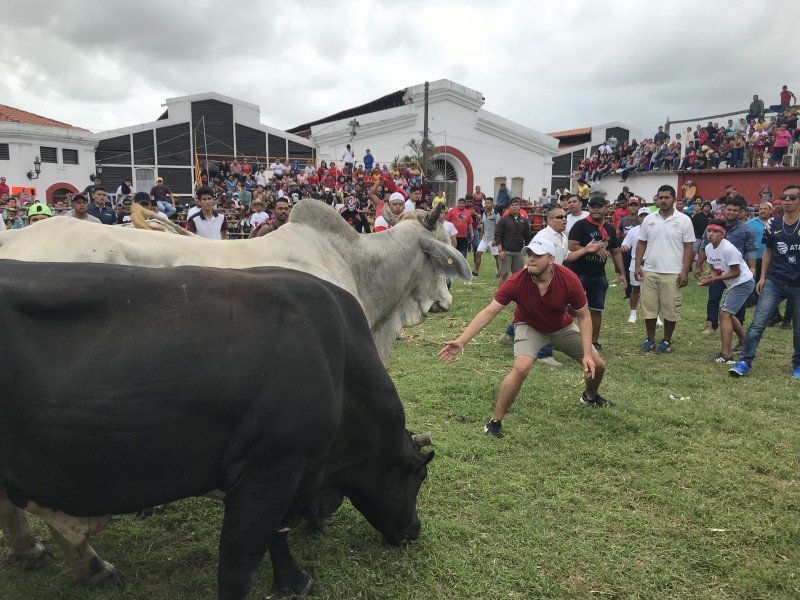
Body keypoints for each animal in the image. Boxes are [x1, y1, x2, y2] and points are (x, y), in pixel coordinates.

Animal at [0, 264, 432, 600]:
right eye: (418, 476)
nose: (414, 530)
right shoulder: (271, 469)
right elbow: (240, 567)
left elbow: (276, 535)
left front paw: (294, 581)